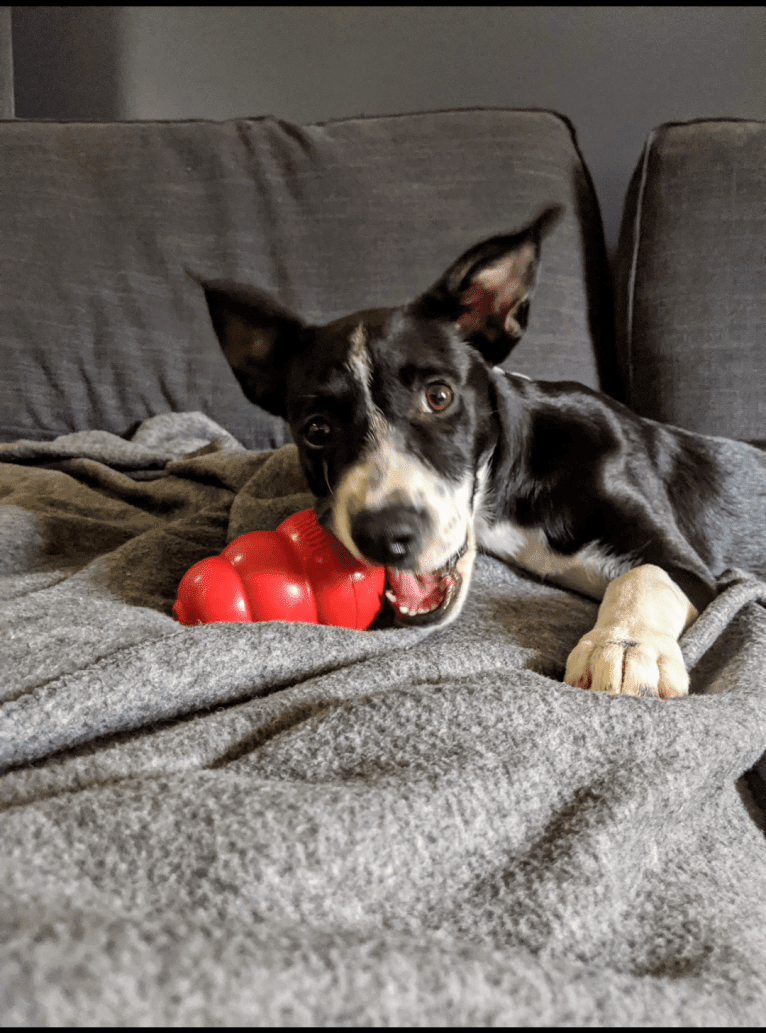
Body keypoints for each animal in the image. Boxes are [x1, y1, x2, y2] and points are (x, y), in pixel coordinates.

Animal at [204, 205, 766, 698]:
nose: (385, 536)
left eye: (439, 396)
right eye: (316, 430)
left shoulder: (693, 567)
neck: (512, 479)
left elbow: (644, 574)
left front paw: (625, 647)